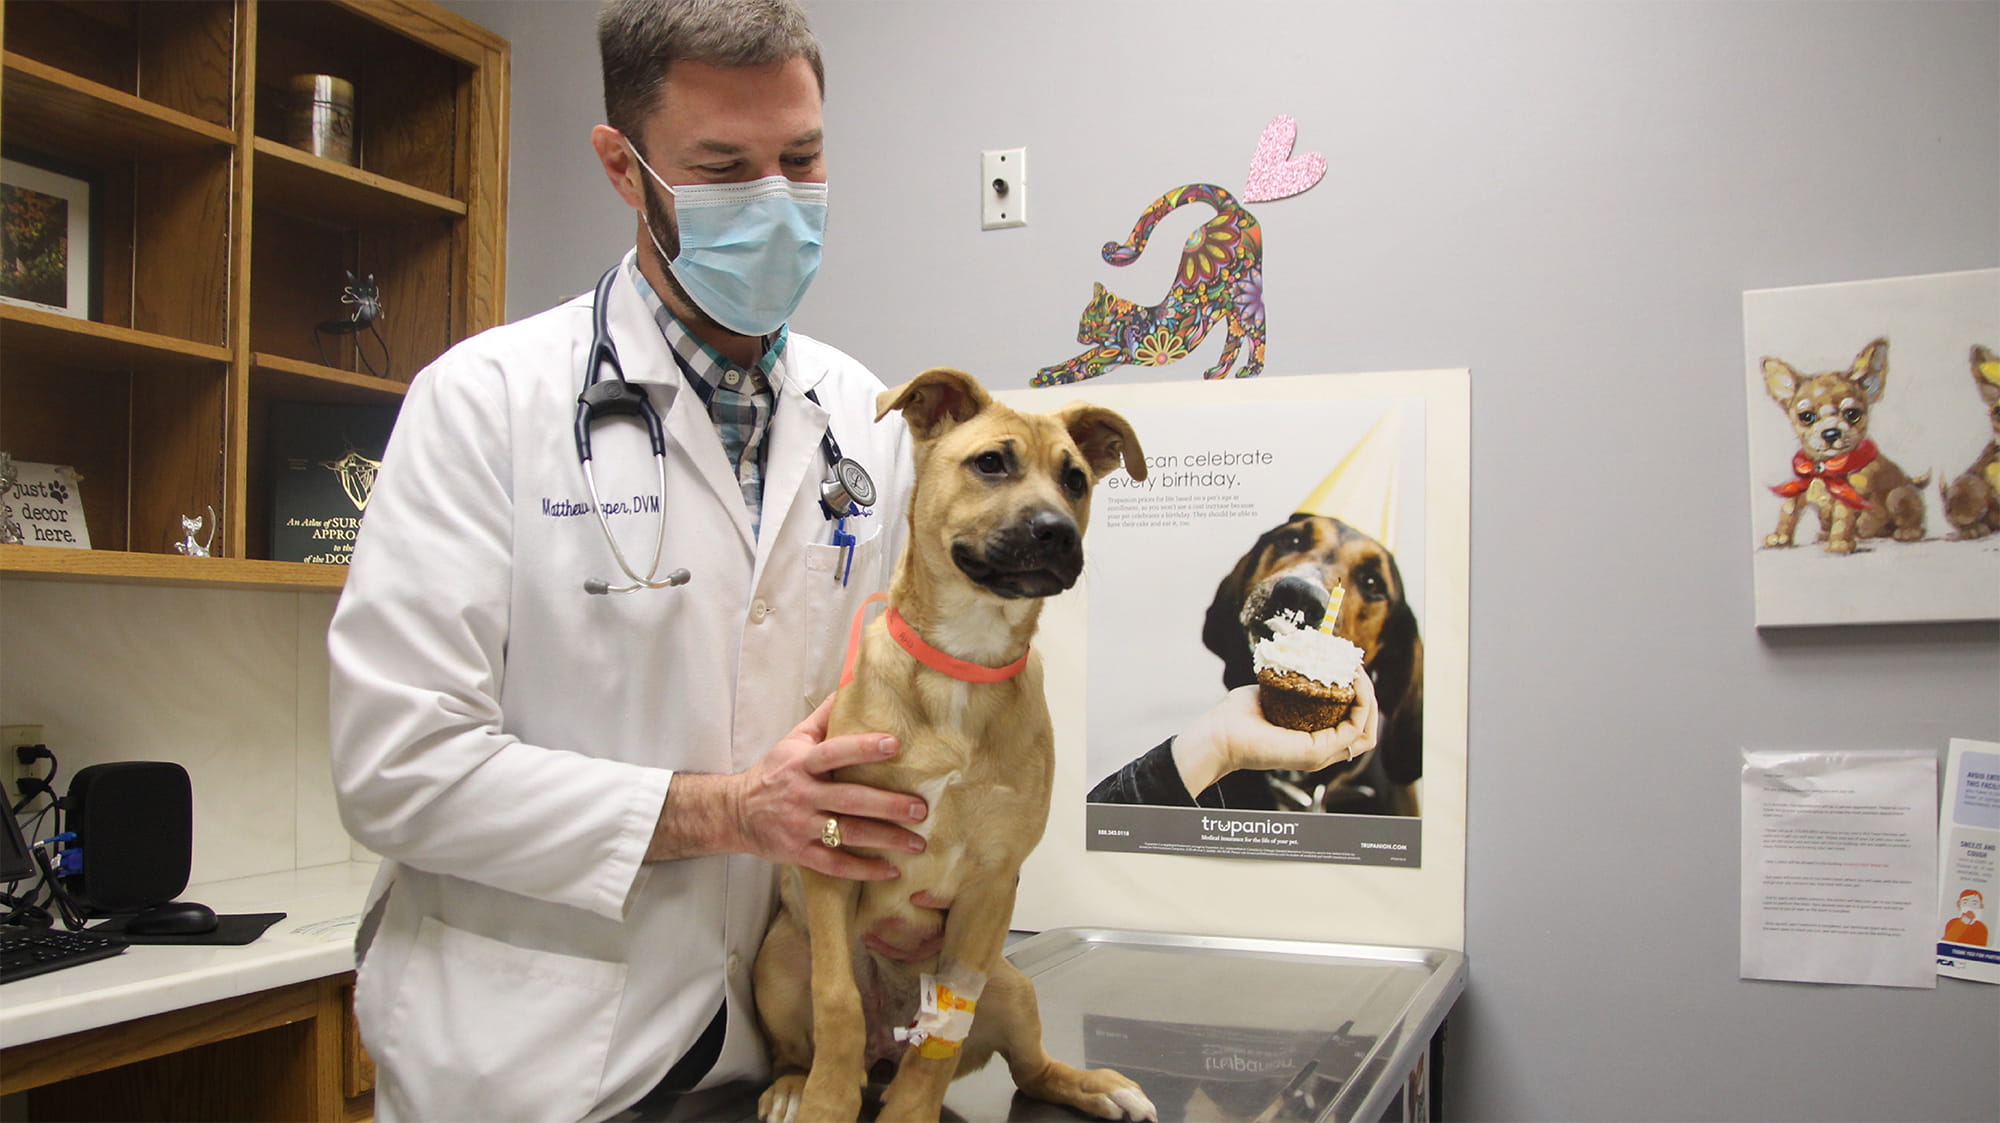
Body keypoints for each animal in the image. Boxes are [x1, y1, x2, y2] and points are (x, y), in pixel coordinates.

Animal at [752, 367, 1160, 1119]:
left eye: (1077, 479)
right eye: (990, 462)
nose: (1057, 532)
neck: (964, 664)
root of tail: (882, 1049)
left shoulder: (991, 887)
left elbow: (940, 1040)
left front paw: (910, 1112)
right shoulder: (832, 861)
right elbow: (837, 1003)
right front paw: (826, 1104)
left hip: (1009, 981)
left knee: (1028, 1069)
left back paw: (1098, 1085)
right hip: (781, 958)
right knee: (812, 1038)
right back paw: (797, 1086)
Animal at [1760, 335, 1928, 555]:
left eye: (1852, 414)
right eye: (1806, 417)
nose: (1831, 432)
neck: (1825, 469)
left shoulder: (1849, 497)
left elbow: (1842, 517)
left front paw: (1839, 543)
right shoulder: (1800, 490)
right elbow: (1788, 509)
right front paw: (1780, 536)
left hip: (1898, 496)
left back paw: (1908, 531)